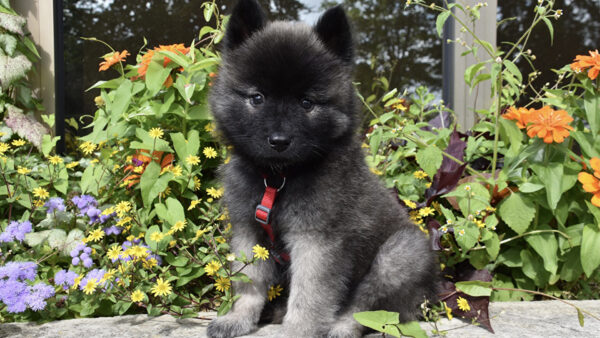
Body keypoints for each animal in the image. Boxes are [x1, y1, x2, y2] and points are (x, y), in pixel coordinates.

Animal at [206, 1, 436, 336]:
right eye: (257, 98)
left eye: (307, 102)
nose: (279, 141)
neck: (278, 179)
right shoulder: (249, 232)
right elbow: (249, 284)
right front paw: (238, 318)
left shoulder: (317, 241)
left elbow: (309, 296)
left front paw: (297, 331)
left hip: (399, 253)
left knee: (366, 307)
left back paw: (341, 326)